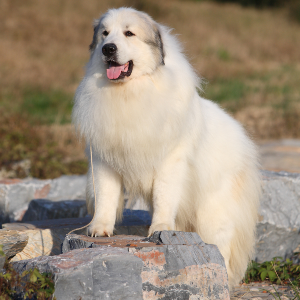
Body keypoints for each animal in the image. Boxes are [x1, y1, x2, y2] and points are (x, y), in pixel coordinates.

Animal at [72, 7, 260, 288]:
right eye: (105, 34)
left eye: (129, 33)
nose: (108, 49)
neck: (130, 93)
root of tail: (242, 136)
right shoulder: (104, 160)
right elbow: (105, 196)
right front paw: (99, 228)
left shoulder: (169, 164)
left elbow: (164, 198)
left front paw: (159, 228)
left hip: (213, 215)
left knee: (221, 247)